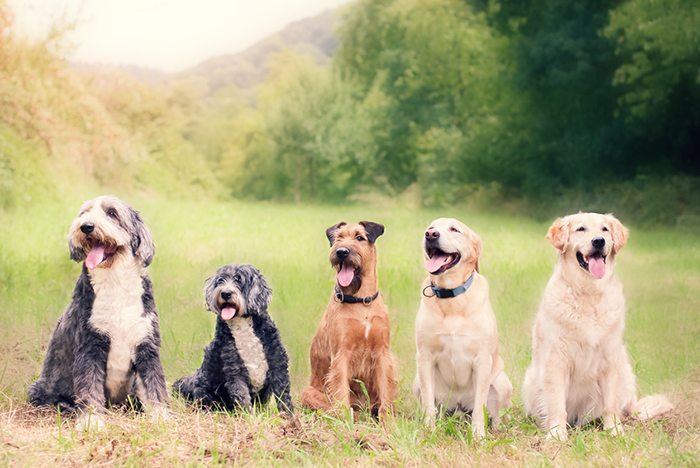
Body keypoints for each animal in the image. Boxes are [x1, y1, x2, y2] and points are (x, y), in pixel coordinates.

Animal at [29, 196, 170, 430]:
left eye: (112, 213)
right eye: (84, 213)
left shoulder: (146, 345)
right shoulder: (90, 345)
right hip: (39, 388)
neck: (115, 282)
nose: (86, 226)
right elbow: (89, 387)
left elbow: (154, 384)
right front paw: (91, 421)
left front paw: (161, 418)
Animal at [175, 264, 296, 414]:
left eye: (239, 279)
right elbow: (242, 397)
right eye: (220, 280)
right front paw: (248, 417)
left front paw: (289, 416)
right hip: (204, 392)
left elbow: (283, 395)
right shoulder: (235, 371)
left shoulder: (278, 364)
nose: (226, 293)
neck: (242, 324)